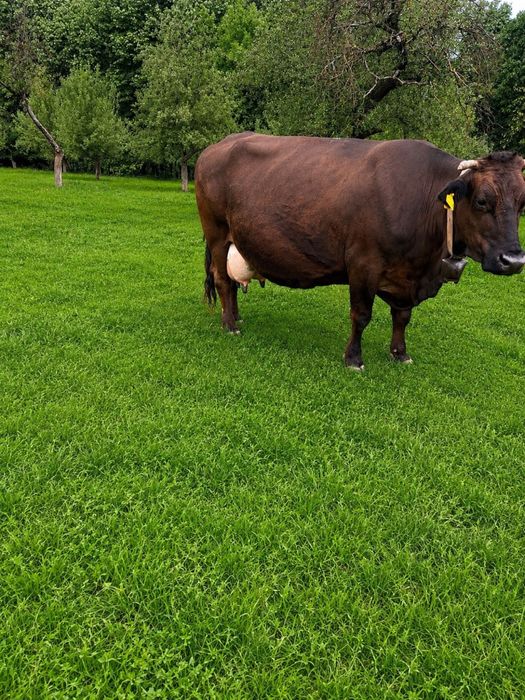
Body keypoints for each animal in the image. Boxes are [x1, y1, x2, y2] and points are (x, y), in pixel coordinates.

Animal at [195, 133, 525, 370]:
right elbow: (361, 315)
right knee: (223, 280)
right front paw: (353, 358)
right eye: (482, 201)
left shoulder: (407, 274)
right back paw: (229, 325)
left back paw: (235, 316)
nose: (513, 260)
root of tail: (217, 146)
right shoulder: (363, 263)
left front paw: (400, 353)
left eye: (523, 203)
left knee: (231, 284)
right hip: (217, 233)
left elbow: (402, 316)